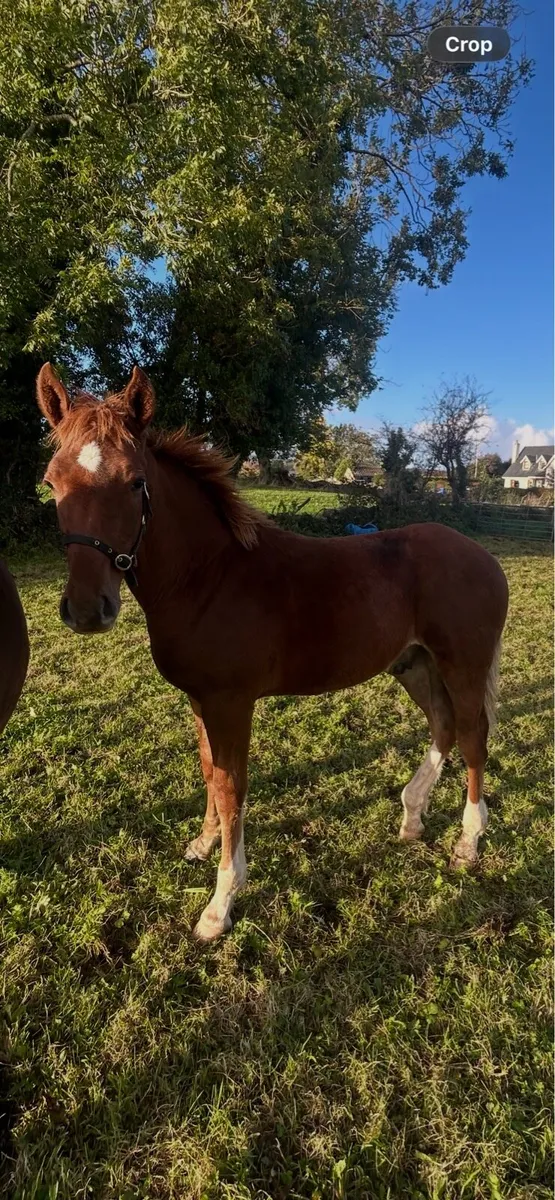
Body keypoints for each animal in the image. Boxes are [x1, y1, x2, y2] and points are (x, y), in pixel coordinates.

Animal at [37, 362, 509, 942]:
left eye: (136, 482)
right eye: (52, 482)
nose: (86, 610)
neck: (209, 576)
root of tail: (484, 557)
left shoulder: (231, 703)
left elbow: (232, 786)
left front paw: (219, 904)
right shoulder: (201, 700)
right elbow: (209, 772)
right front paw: (202, 845)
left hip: (463, 664)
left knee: (472, 737)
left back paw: (467, 842)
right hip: (414, 664)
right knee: (443, 726)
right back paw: (412, 816)